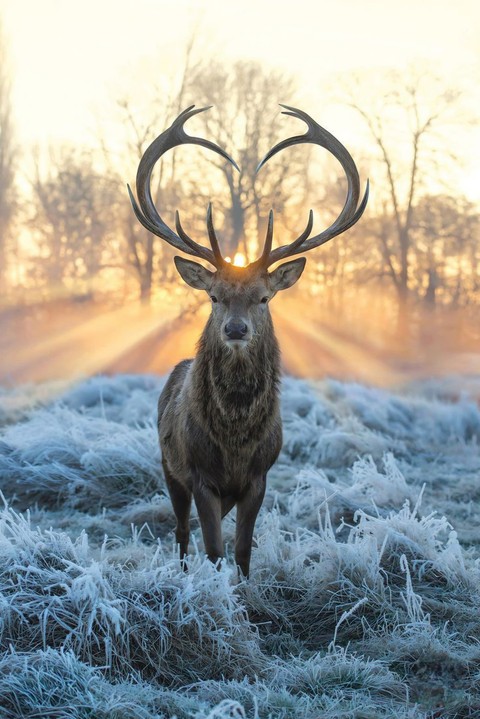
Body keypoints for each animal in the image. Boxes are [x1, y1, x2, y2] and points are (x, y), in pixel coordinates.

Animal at [128, 105, 369, 578]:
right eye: (214, 296)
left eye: (263, 297)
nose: (236, 329)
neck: (235, 442)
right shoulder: (199, 474)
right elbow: (214, 549)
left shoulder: (260, 477)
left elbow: (241, 552)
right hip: (167, 464)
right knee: (181, 532)